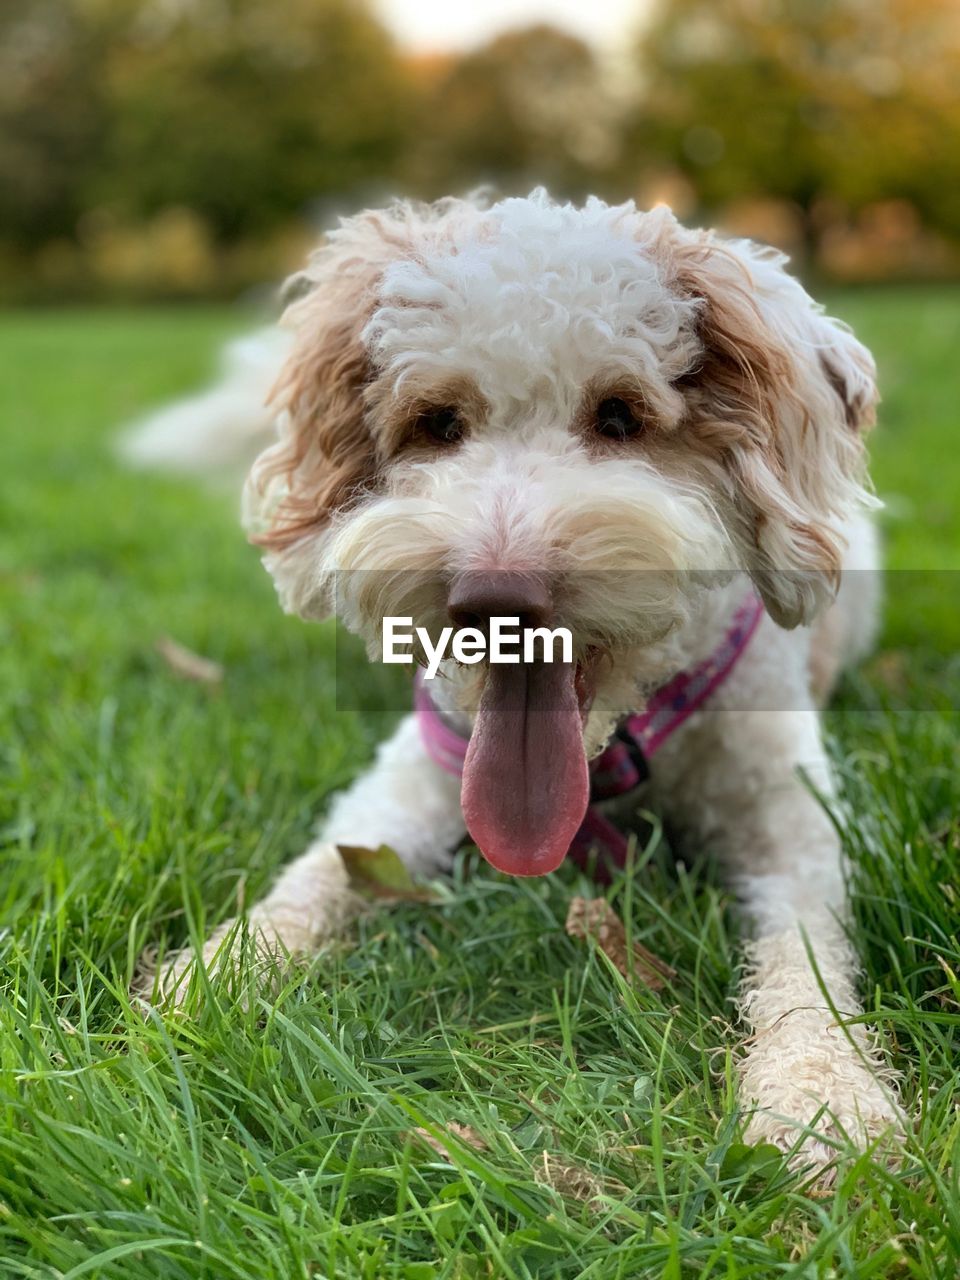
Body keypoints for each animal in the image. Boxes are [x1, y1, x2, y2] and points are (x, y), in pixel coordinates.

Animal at [128, 192, 901, 1172]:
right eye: (437, 421)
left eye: (621, 415)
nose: (493, 595)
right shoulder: (412, 777)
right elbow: (316, 876)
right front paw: (212, 975)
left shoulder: (792, 818)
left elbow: (808, 956)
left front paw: (824, 1096)